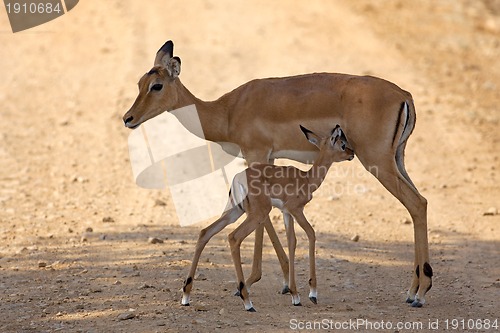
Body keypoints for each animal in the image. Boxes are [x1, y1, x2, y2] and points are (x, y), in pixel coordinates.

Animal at [182, 125, 354, 312]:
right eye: (342, 144)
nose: (352, 153)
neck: (307, 179)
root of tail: (238, 178)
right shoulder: (296, 210)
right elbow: (311, 234)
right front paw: (312, 293)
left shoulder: (286, 213)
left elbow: (292, 242)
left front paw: (294, 295)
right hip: (257, 214)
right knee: (233, 237)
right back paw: (247, 302)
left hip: (234, 212)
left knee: (205, 232)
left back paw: (186, 296)